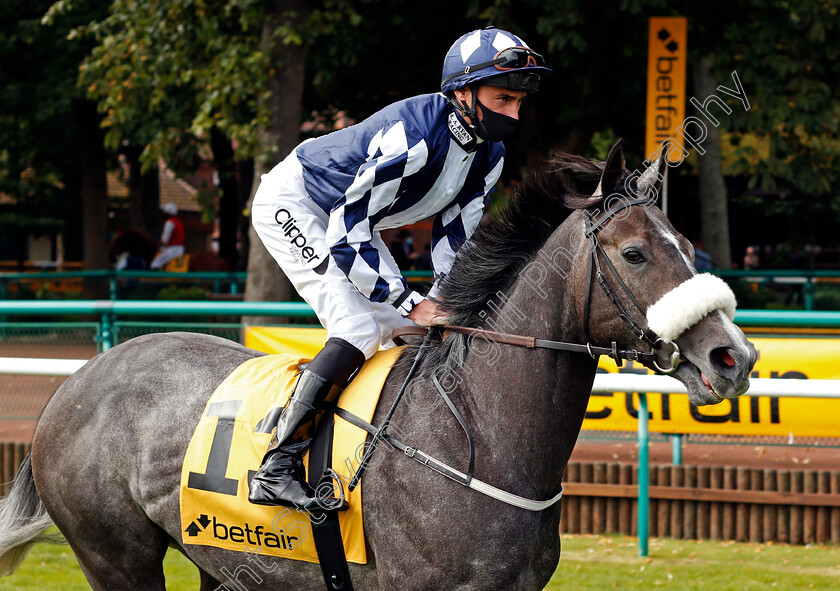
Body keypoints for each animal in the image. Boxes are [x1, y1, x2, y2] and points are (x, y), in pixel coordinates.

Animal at [0, 141, 756, 588]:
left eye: (685, 241)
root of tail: (77, 381)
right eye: (634, 253)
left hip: (218, 557)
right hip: (115, 556)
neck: (472, 433)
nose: (735, 356)